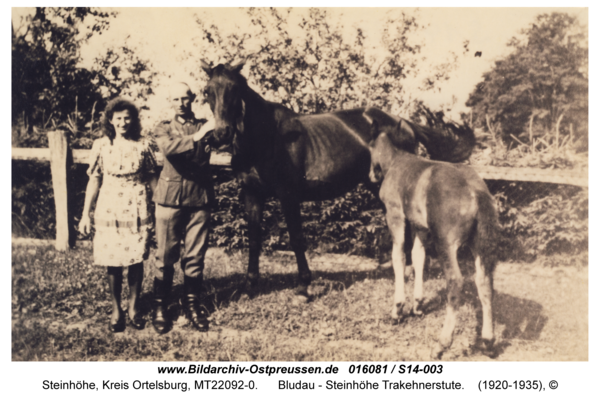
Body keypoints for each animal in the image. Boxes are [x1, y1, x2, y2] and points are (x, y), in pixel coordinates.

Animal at [203, 60, 478, 296]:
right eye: (208, 91)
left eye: (234, 89)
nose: (221, 133)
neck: (266, 138)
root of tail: (404, 122)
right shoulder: (251, 194)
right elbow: (253, 238)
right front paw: (250, 286)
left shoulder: (288, 195)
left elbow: (296, 238)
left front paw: (304, 287)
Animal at [368, 119, 500, 360]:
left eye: (370, 146)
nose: (372, 175)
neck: (398, 161)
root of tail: (476, 192)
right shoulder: (421, 227)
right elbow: (418, 257)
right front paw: (418, 305)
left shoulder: (395, 215)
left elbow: (399, 256)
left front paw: (397, 309)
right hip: (478, 245)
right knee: (485, 282)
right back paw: (487, 341)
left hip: (445, 244)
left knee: (455, 282)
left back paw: (441, 344)